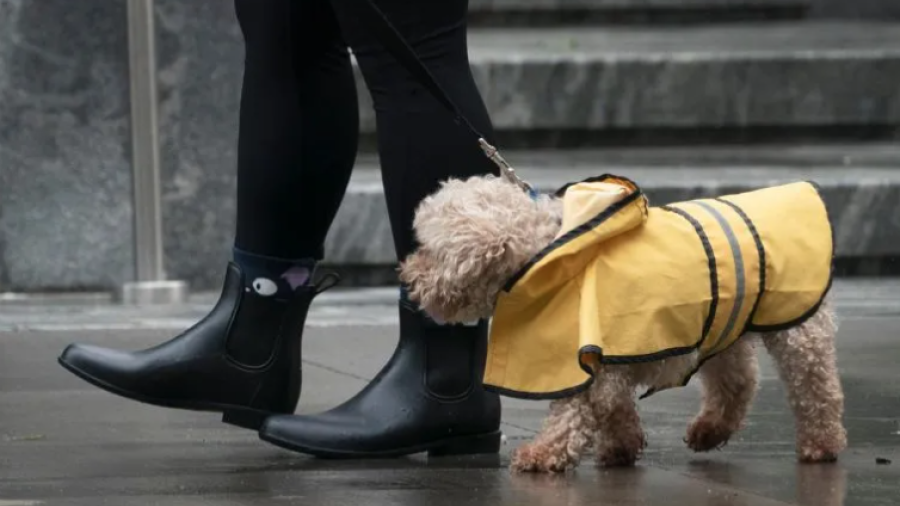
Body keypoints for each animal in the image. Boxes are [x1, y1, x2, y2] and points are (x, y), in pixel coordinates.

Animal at [398, 172, 848, 472]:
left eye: (430, 250)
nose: (406, 276)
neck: (547, 254)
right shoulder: (608, 359)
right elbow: (614, 408)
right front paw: (621, 446)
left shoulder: (590, 359)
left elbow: (575, 412)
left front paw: (543, 454)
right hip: (722, 324)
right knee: (738, 381)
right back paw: (710, 430)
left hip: (799, 330)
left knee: (817, 388)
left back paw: (821, 443)